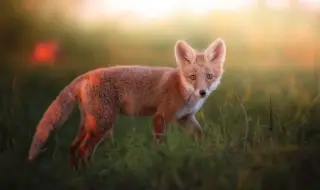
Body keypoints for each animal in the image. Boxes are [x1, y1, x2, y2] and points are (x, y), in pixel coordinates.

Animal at [28, 37, 228, 170]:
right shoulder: (160, 116)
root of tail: (88, 74)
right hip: (103, 125)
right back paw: (88, 174)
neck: (182, 89)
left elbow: (199, 134)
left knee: (73, 148)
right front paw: (160, 159)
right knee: (83, 150)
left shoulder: (185, 118)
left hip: (91, 124)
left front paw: (202, 151)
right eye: (192, 77)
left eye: (209, 76)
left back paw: (76, 173)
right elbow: (160, 143)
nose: (202, 92)